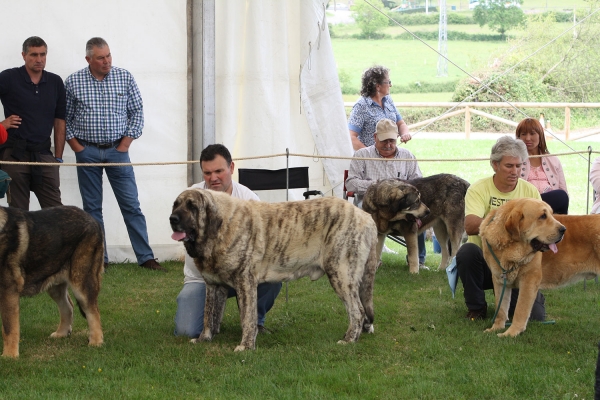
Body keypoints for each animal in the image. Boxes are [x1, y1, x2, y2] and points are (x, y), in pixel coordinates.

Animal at [0, 206, 104, 356]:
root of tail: (92, 219)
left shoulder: (8, 288)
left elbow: (9, 327)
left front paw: (9, 356)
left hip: (82, 282)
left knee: (93, 310)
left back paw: (96, 341)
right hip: (55, 285)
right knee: (68, 307)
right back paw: (62, 333)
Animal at [170, 189, 380, 352]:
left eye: (192, 206)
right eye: (175, 204)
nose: (172, 219)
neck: (221, 228)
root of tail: (366, 216)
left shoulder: (245, 283)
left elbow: (247, 318)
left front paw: (246, 346)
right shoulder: (214, 286)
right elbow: (208, 315)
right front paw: (204, 338)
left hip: (340, 275)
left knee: (357, 310)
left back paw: (349, 340)